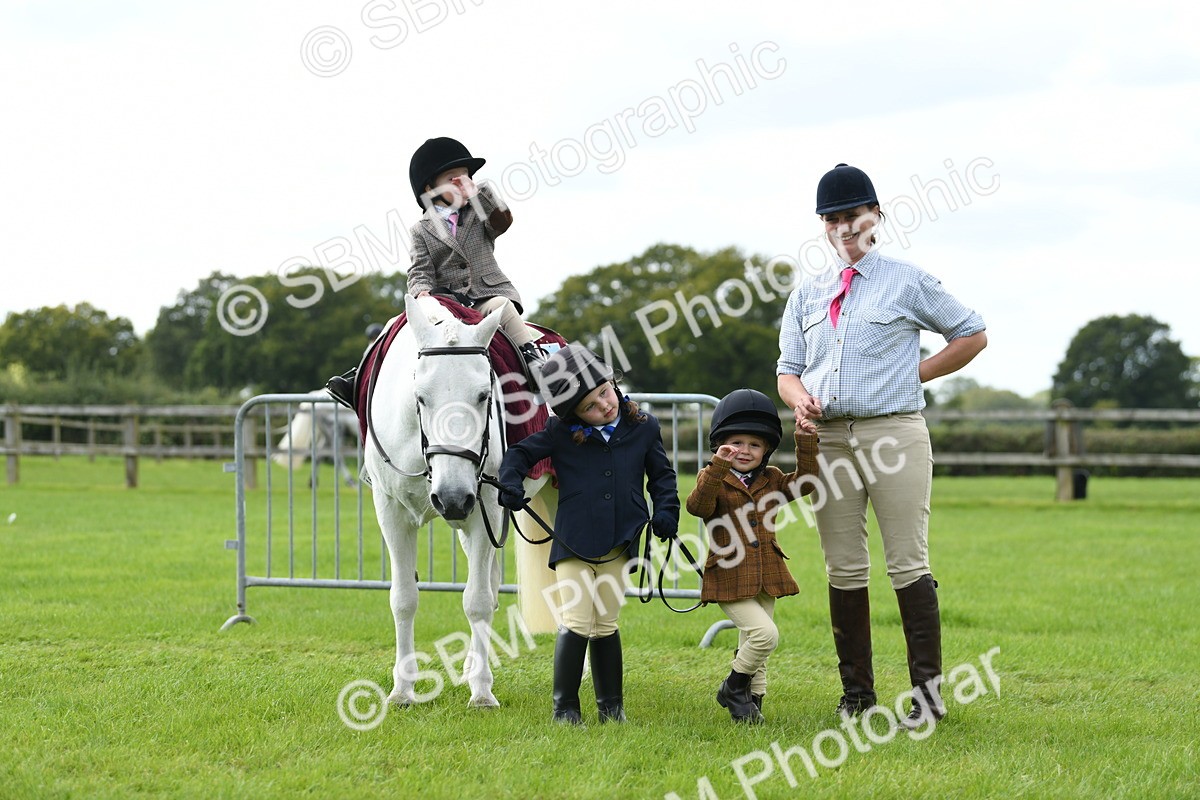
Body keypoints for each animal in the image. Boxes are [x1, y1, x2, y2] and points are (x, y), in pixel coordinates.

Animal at [364, 295, 558, 708]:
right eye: (420, 397)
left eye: (484, 395)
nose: (452, 498)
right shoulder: (390, 511)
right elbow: (403, 598)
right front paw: (402, 690)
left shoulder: (485, 506)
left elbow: (478, 601)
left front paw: (482, 692)